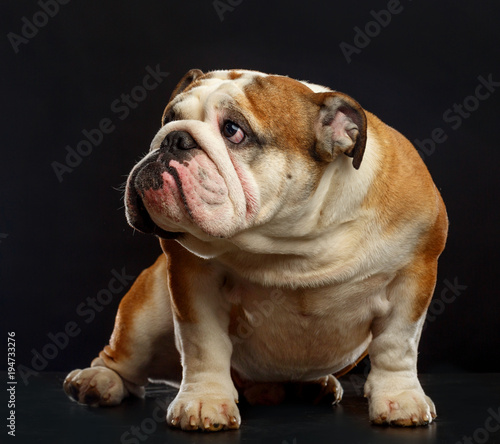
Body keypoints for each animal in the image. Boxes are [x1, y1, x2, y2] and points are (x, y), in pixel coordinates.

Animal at [63, 68, 450, 430]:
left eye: (234, 130)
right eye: (168, 118)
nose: (173, 138)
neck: (293, 238)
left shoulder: (414, 276)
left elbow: (396, 345)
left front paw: (400, 397)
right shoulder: (191, 280)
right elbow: (204, 344)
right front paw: (204, 401)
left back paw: (312, 385)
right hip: (145, 313)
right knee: (124, 359)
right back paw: (98, 380)